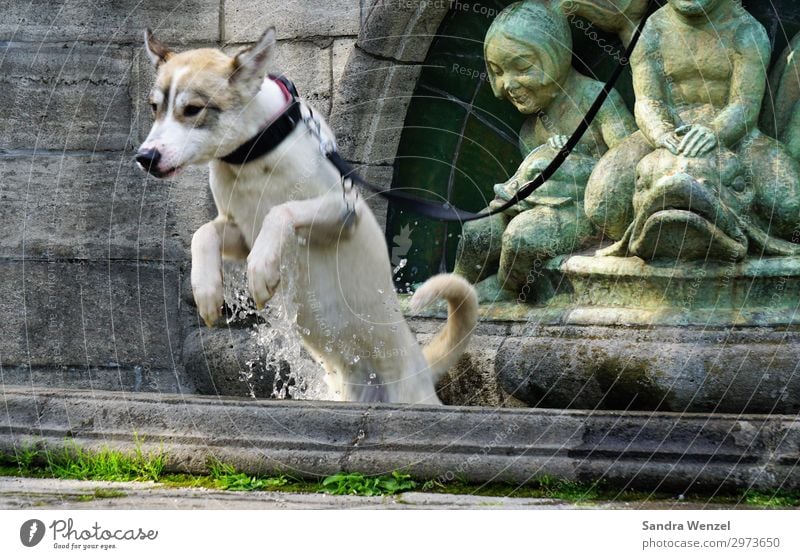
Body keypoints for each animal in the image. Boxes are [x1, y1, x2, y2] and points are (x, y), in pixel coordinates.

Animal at [134, 27, 478, 402]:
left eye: (193, 109)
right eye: (155, 108)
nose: (145, 157)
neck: (254, 155)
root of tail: (420, 366)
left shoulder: (342, 212)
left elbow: (281, 211)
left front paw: (261, 269)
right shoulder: (240, 232)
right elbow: (202, 234)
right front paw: (206, 290)